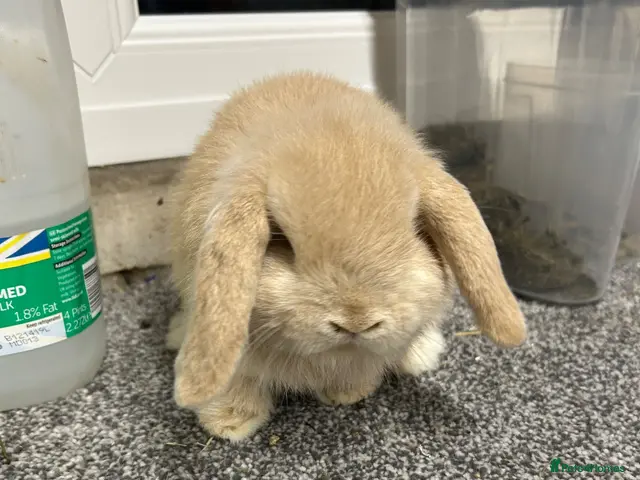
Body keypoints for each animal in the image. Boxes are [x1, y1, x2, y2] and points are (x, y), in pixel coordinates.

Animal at [166, 71, 527, 442]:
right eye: (281, 239)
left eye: (414, 229)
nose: (356, 321)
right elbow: (239, 378)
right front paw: (228, 424)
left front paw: (346, 395)